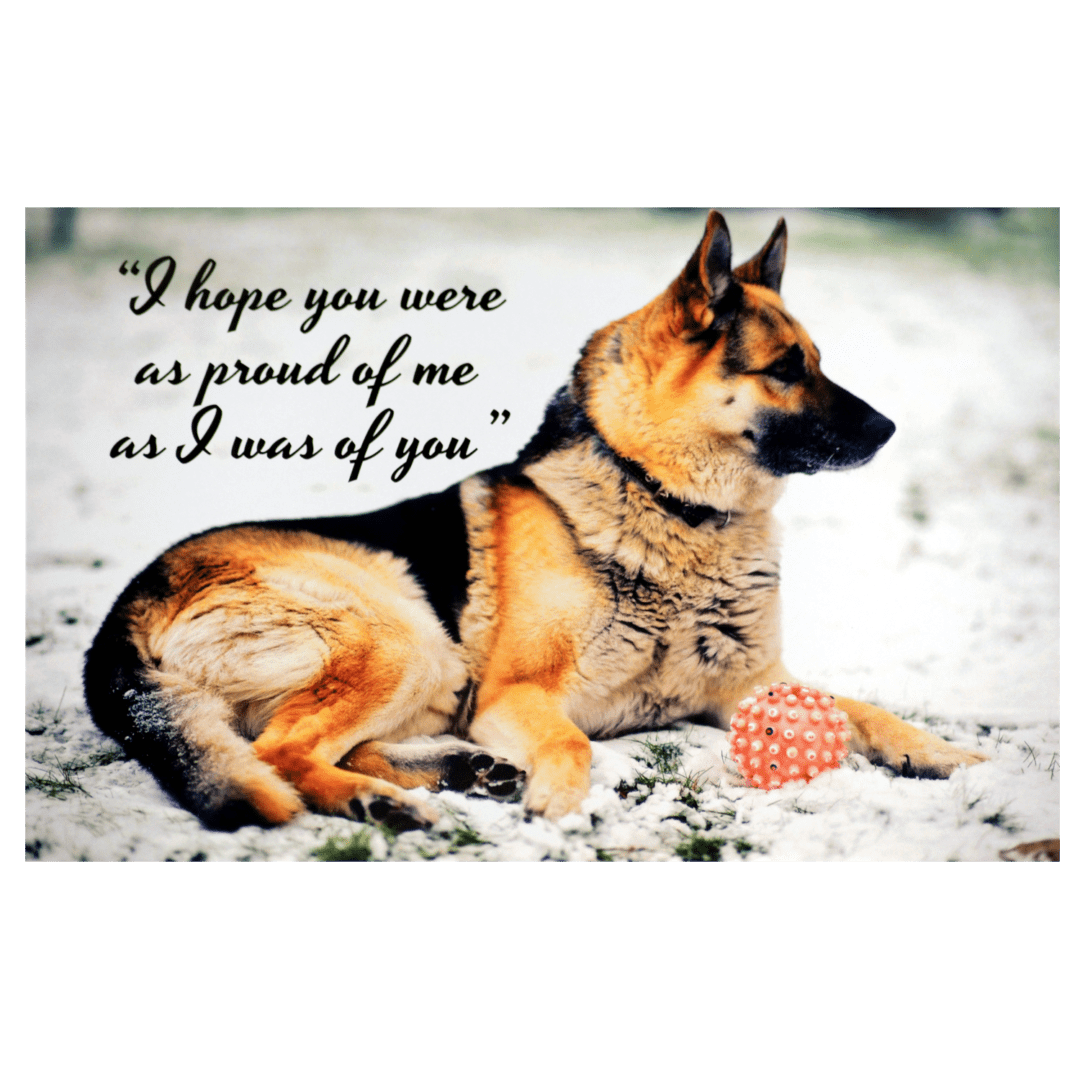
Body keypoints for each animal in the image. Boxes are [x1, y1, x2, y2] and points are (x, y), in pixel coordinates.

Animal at [82, 214, 989, 829]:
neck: (667, 503)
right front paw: (560, 803)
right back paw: (386, 803)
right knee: (278, 754)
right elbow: (573, 743)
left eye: (818, 363)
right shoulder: (518, 695)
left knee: (304, 746)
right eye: (786, 370)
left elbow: (867, 710)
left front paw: (947, 753)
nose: (889, 430)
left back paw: (452, 774)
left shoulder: (751, 687)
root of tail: (117, 621)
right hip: (403, 631)